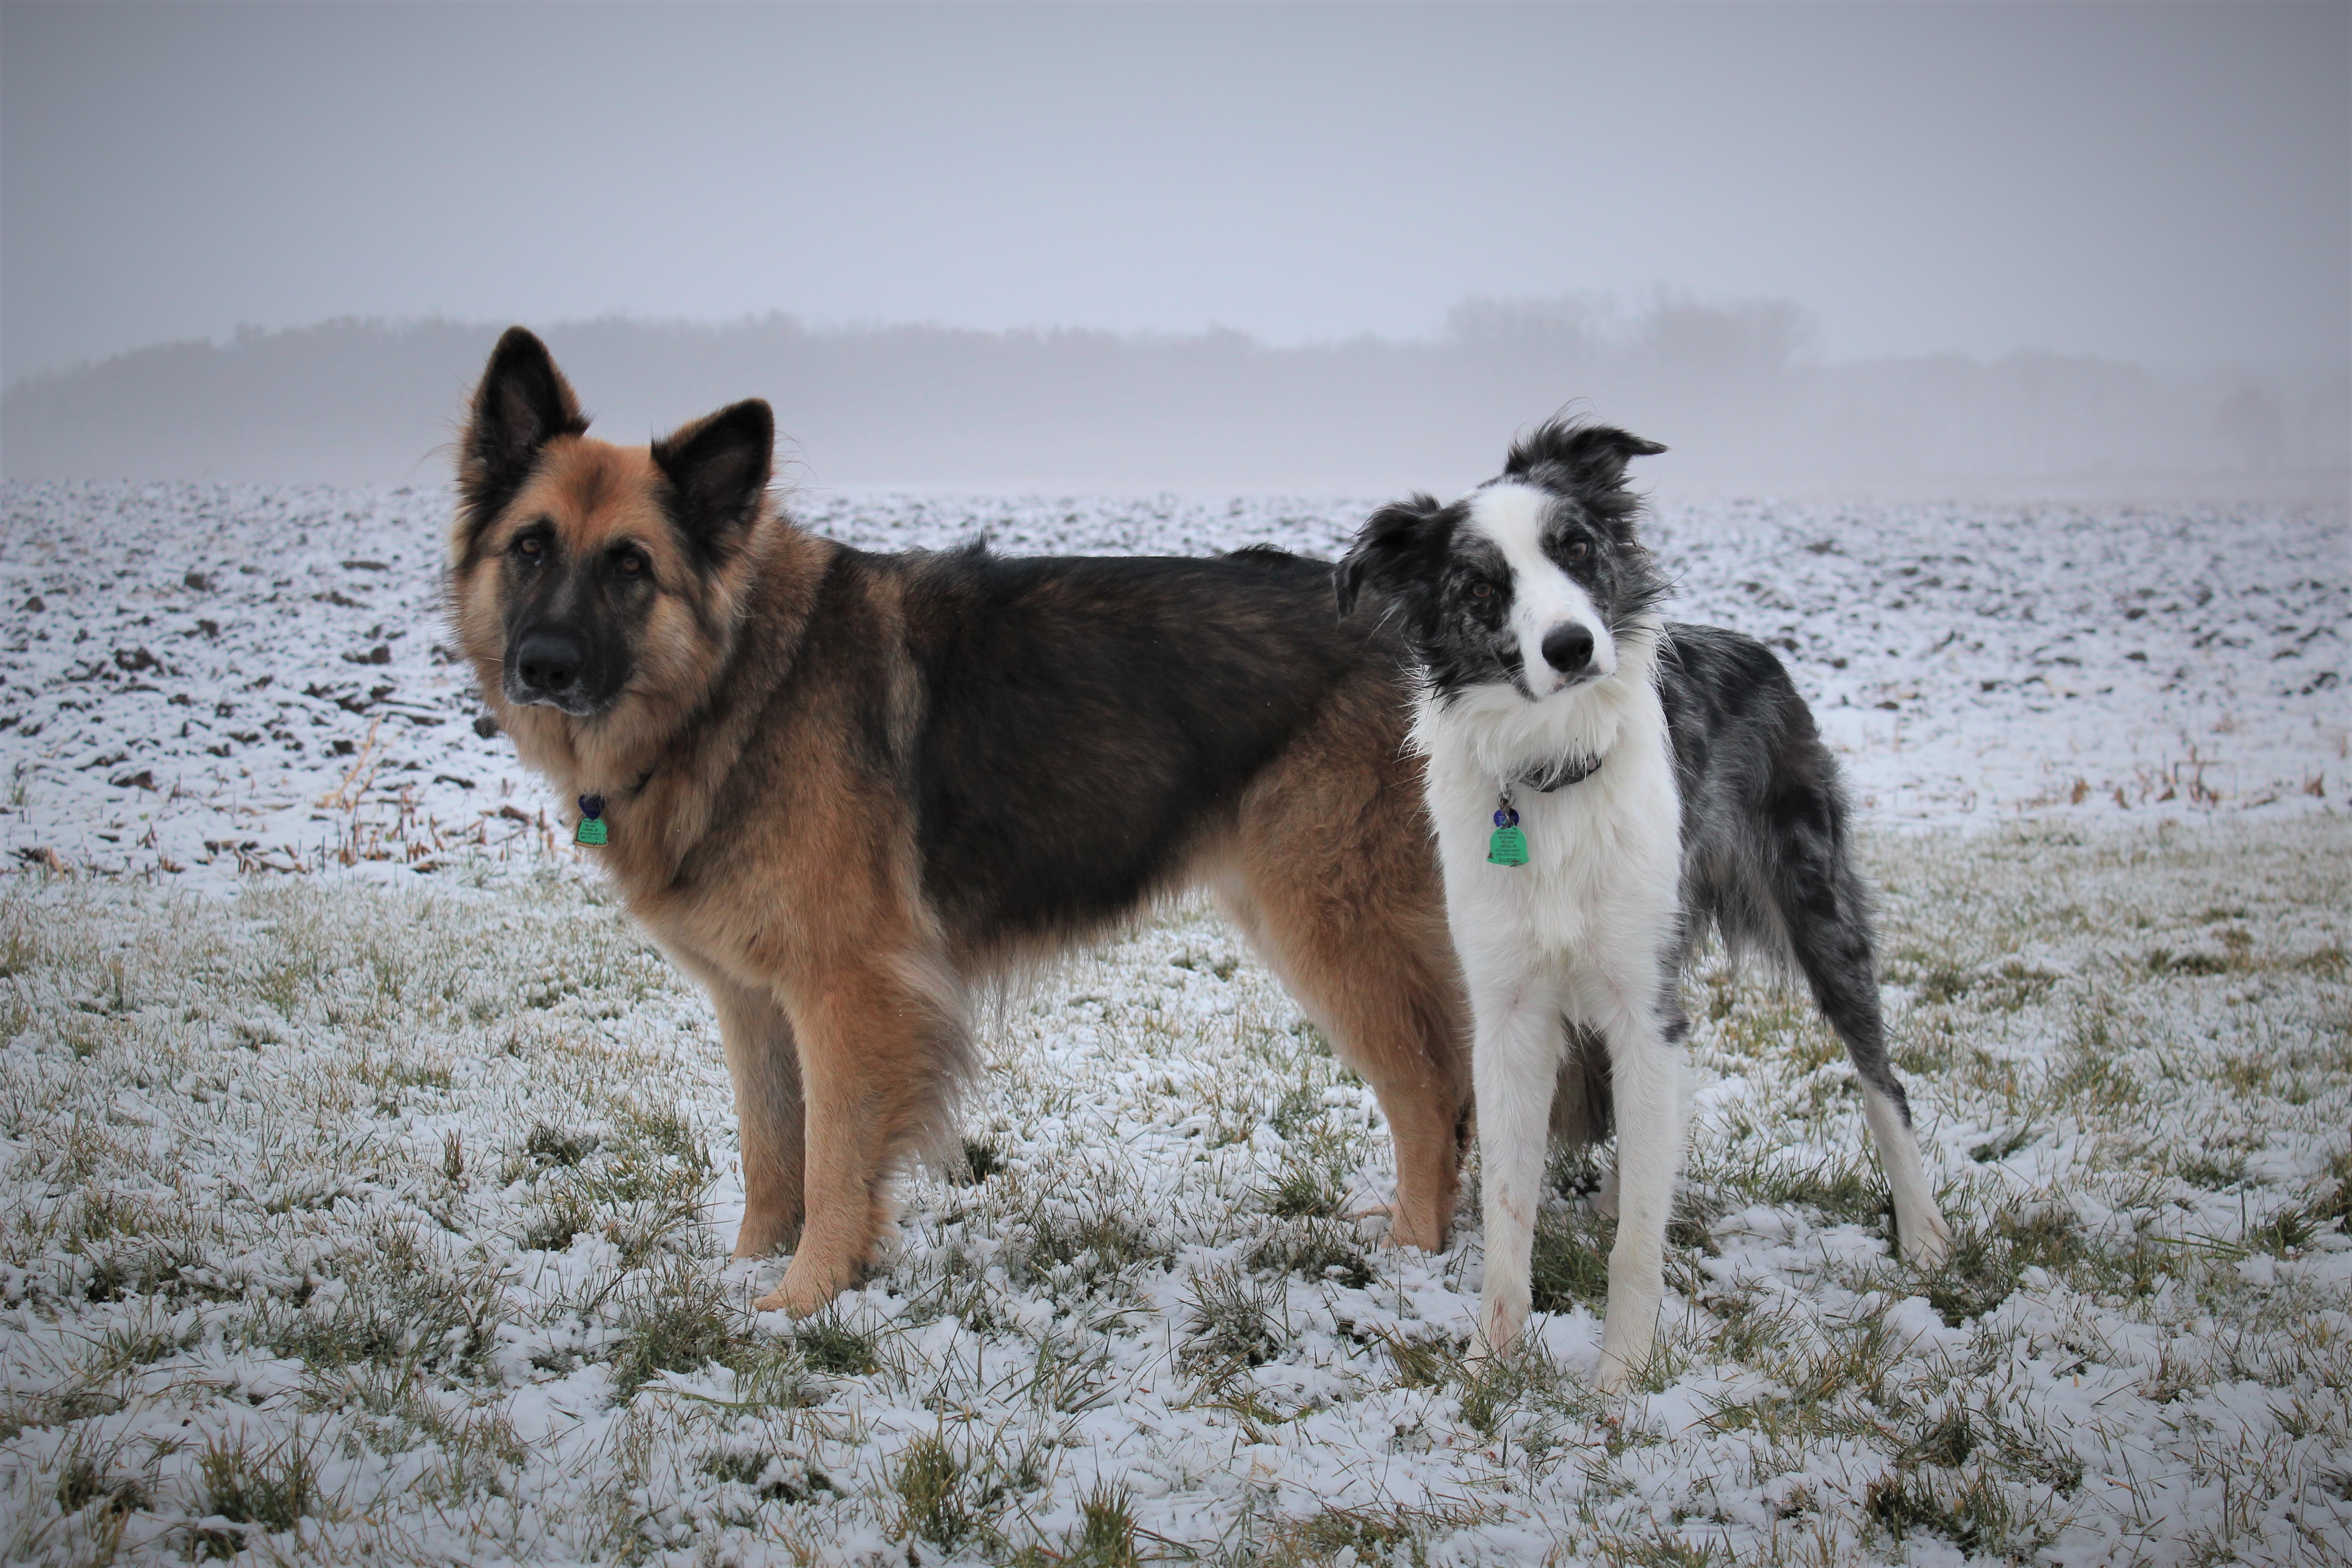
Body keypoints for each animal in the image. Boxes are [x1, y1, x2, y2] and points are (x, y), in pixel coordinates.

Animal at [447, 327, 1472, 1315]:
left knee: (1432, 1095)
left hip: (1330, 924)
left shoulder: (848, 988)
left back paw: (1411, 1255)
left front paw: (803, 1300)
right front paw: (747, 1274)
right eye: (530, 547)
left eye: (630, 566)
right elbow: (770, 1152)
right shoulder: (753, 999)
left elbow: (831, 1162)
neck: (739, 682)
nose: (543, 665)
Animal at [1337, 420, 1951, 1391]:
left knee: (1881, 1079)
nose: (1569, 647)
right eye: (1480, 586)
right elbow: (1508, 1206)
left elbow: (1636, 1247)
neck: (1553, 771)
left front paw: (1622, 1380)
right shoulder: (1508, 1014)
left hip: (1818, 912)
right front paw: (1488, 1362)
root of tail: (1759, 649)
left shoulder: (1641, 1000)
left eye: (1575, 548)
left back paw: (1922, 1234)